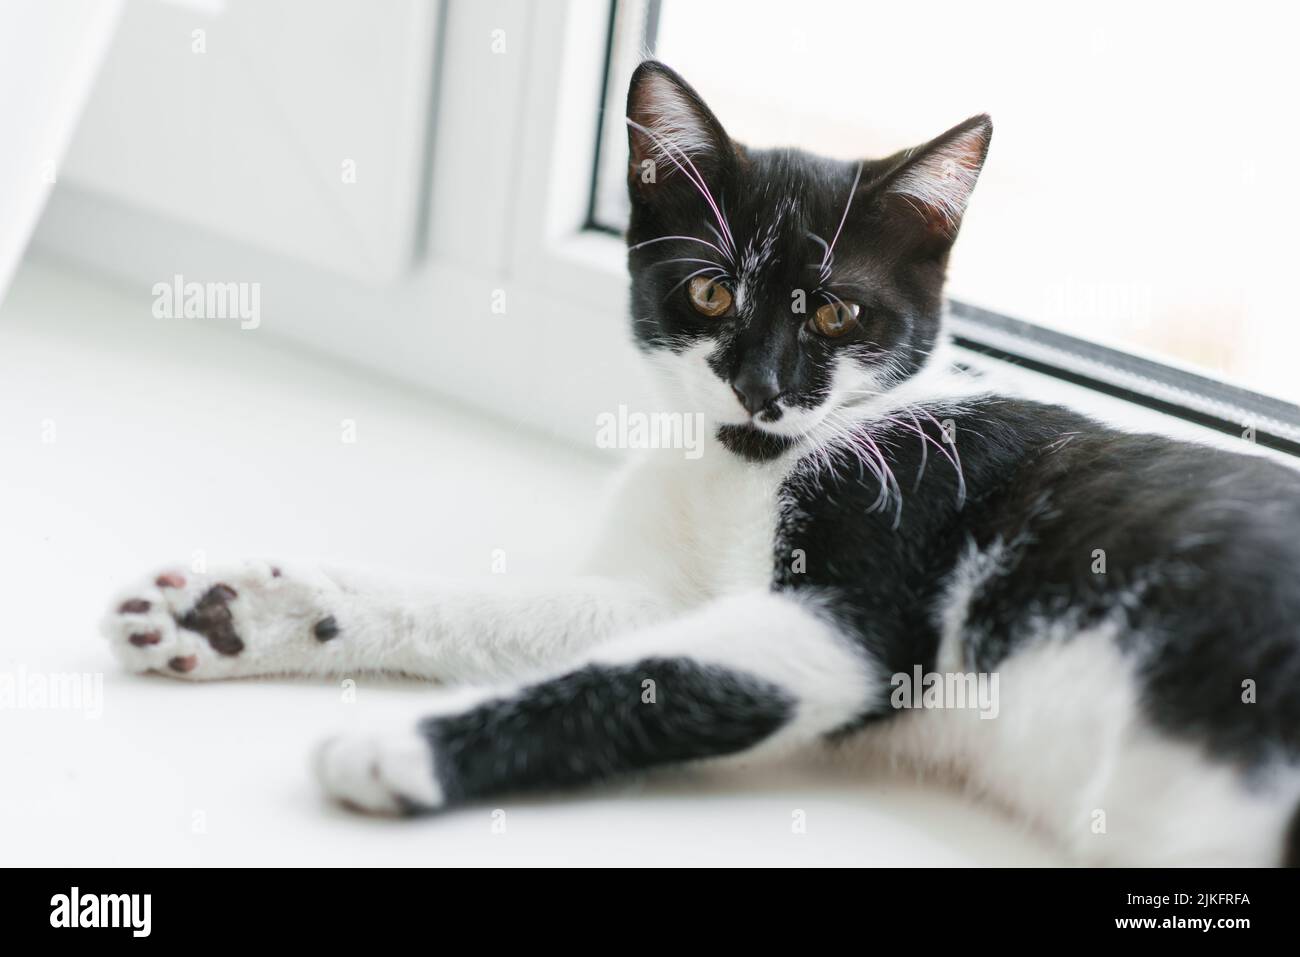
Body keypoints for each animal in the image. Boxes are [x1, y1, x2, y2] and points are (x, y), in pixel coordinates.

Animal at [104, 61, 1300, 868]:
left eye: (835, 311)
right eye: (713, 291)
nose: (760, 386)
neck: (749, 464)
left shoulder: (858, 602)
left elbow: (641, 675)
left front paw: (399, 746)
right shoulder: (664, 589)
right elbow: (529, 617)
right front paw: (243, 611)